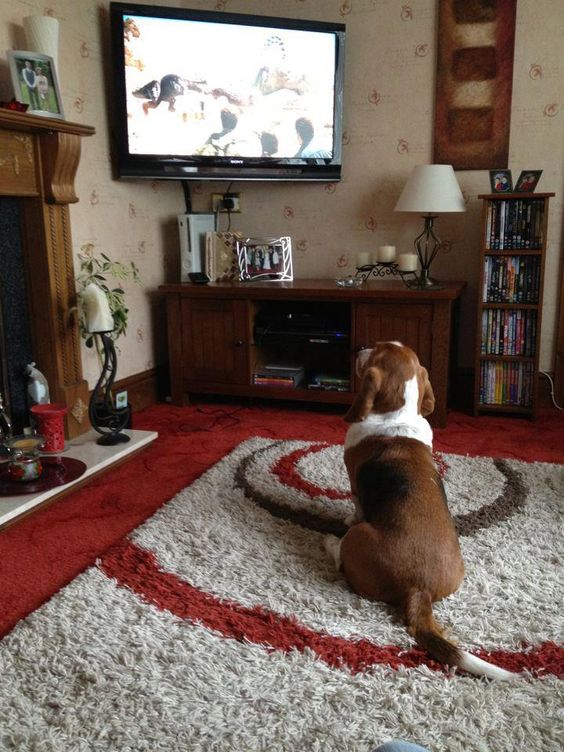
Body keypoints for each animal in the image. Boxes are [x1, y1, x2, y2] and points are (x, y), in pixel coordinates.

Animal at [326, 342, 520, 680]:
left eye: (375, 350)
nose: (359, 347)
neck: (396, 414)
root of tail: (421, 588)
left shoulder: (355, 486)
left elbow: (357, 503)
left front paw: (346, 517)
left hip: (359, 537)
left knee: (341, 558)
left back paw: (330, 542)